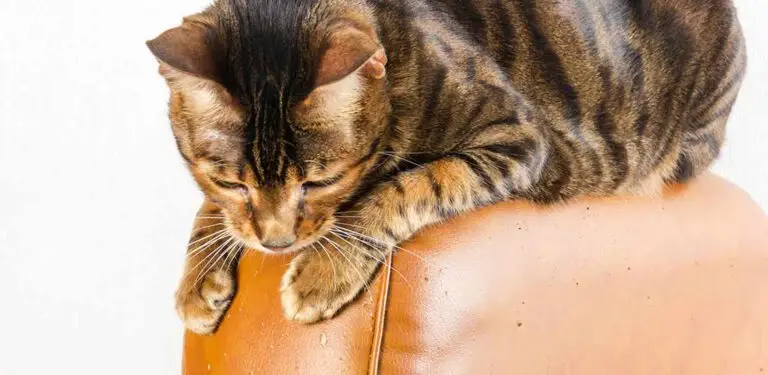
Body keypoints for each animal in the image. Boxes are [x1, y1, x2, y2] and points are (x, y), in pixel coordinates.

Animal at [147, 0, 748, 334]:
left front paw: (324, 270)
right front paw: (199, 275)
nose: (276, 243)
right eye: (230, 180)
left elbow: (405, 188)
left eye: (320, 181)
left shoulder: (520, 137)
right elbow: (214, 211)